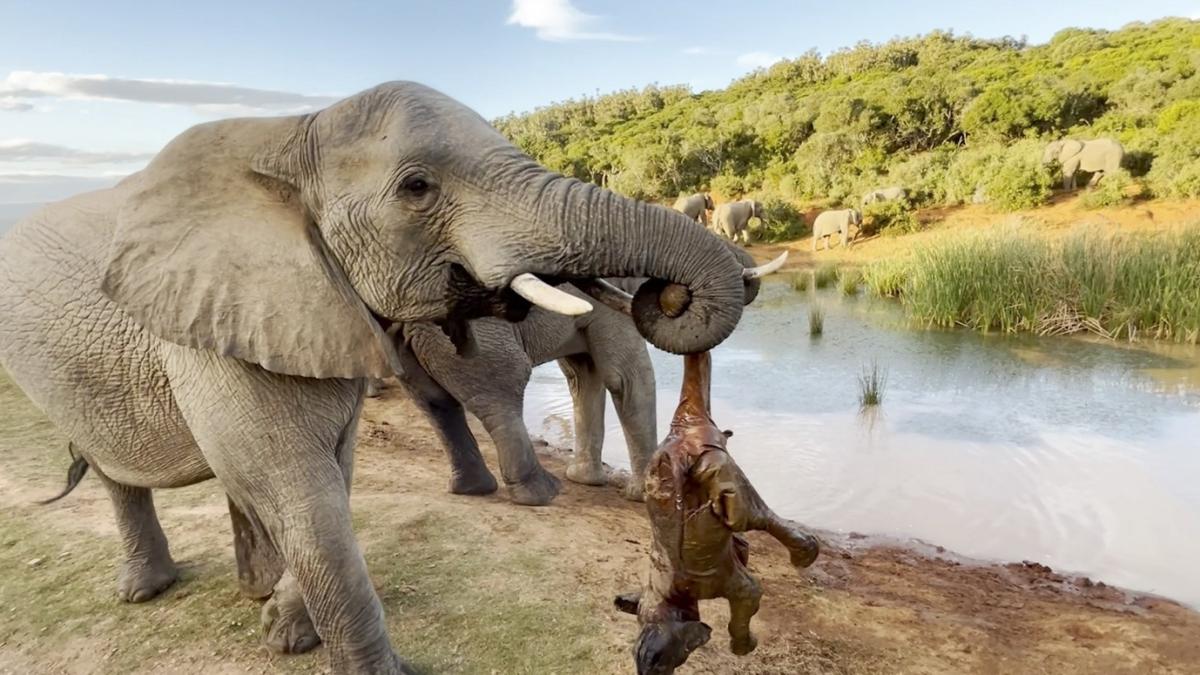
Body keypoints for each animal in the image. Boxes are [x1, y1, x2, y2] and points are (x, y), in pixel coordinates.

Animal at [0, 81, 751, 674]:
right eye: (417, 187)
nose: (666, 292)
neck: (291, 135)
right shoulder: (209, 322)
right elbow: (295, 483)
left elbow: (332, 471)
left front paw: (287, 630)